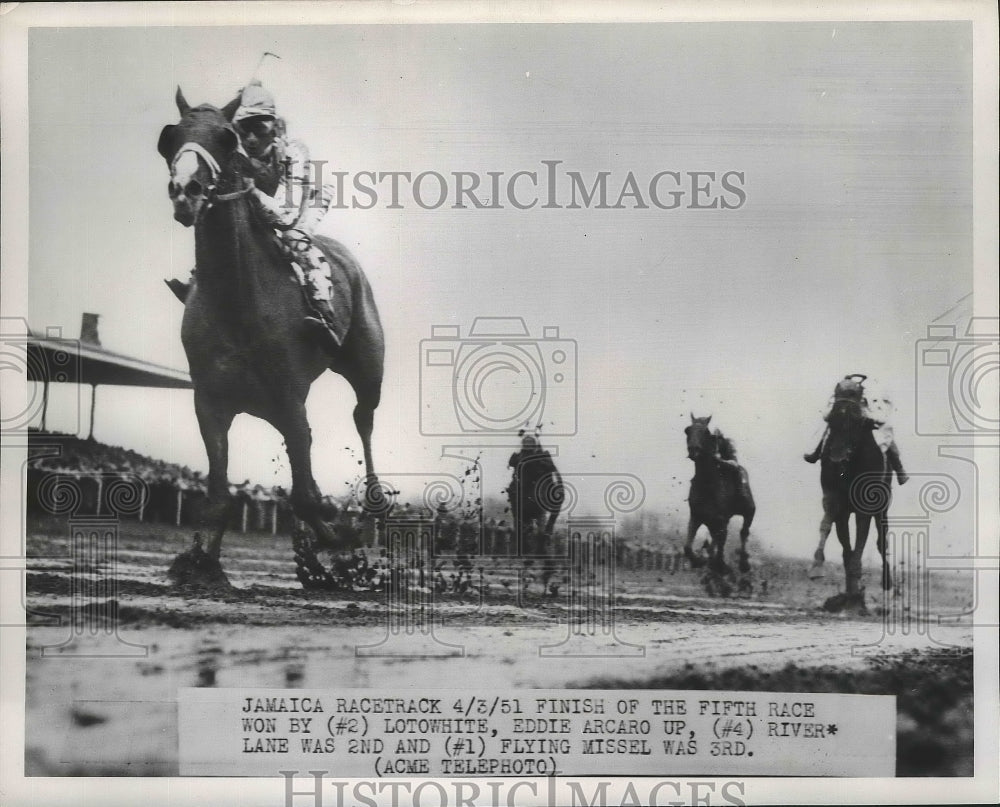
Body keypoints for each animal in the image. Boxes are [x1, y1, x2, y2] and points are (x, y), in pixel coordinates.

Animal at [156, 90, 382, 588]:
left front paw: (341, 543)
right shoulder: (210, 402)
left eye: (225, 137)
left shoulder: (291, 401)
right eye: (170, 138)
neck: (237, 301)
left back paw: (370, 511)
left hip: (367, 369)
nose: (186, 191)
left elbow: (306, 496)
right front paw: (199, 562)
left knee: (364, 420)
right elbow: (220, 493)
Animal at [684, 416, 752, 580]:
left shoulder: (721, 519)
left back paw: (743, 564)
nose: (693, 450)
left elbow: (721, 545)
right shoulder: (696, 516)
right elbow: (687, 546)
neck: (707, 483)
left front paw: (721, 565)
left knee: (744, 532)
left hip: (748, 511)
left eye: (705, 432)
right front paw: (699, 560)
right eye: (687, 430)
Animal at [812, 398, 892, 612]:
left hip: (883, 506)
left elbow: (860, 544)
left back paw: (886, 584)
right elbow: (832, 531)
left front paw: (855, 600)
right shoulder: (836, 504)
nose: (837, 457)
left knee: (881, 540)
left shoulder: (866, 506)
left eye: (857, 423)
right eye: (830, 421)